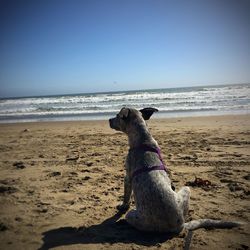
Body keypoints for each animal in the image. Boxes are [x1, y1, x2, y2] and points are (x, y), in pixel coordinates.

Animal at [109, 108, 242, 233]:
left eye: (117, 116)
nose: (109, 120)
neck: (143, 139)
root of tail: (180, 225)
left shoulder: (127, 178)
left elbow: (126, 197)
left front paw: (122, 206)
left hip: (132, 214)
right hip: (187, 190)